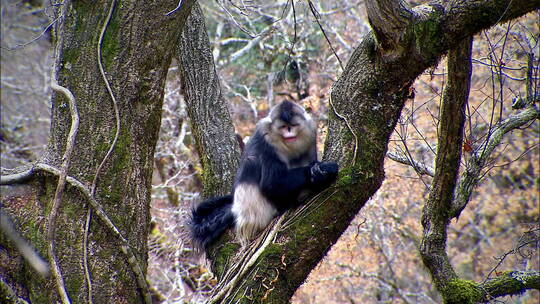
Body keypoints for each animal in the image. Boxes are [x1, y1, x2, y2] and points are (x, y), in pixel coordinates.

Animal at [190, 101, 338, 248]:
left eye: (293, 125)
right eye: (283, 127)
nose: (289, 133)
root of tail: (236, 209)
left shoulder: (310, 132)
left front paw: (317, 172)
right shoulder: (267, 140)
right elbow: (271, 184)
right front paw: (321, 169)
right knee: (253, 162)